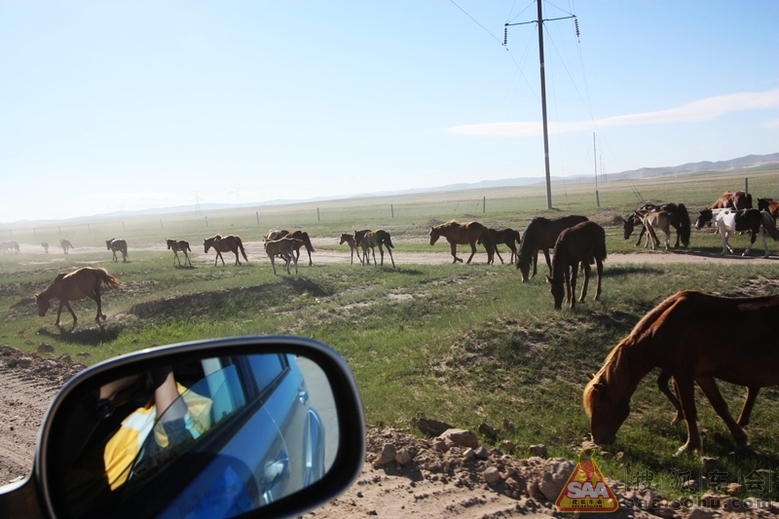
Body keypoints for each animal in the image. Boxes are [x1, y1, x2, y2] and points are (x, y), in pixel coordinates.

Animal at [584, 290, 779, 458]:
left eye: (600, 404)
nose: (597, 439)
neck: (665, 328)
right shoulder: (701, 375)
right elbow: (719, 405)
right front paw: (740, 437)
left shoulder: (682, 374)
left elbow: (689, 409)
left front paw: (690, 446)